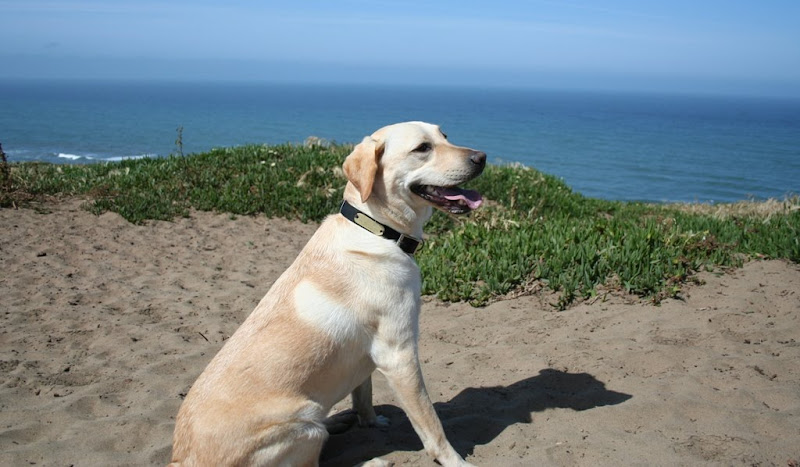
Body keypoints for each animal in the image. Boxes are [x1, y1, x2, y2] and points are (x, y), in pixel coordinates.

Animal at [171, 122, 484, 466]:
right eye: (422, 148)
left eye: (445, 136)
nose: (481, 157)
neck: (376, 230)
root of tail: (182, 458)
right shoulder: (399, 355)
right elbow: (430, 423)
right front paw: (454, 460)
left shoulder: (369, 356)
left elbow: (364, 396)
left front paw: (369, 421)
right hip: (303, 424)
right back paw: (370, 459)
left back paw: (336, 419)